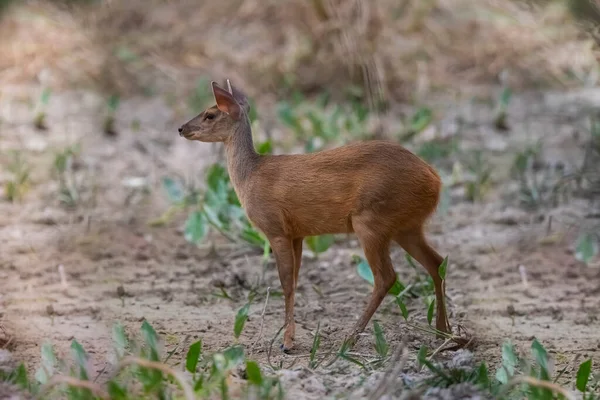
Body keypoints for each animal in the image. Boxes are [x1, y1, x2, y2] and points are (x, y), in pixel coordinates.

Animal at [178, 79, 450, 352]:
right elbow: (296, 280)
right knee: (436, 263)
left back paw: (351, 337)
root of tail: (435, 179)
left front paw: (287, 342)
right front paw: (289, 336)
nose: (181, 128)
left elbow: (286, 283)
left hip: (371, 220)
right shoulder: (297, 233)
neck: (250, 176)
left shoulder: (275, 228)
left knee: (386, 277)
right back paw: (443, 333)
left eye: (210, 114)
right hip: (407, 226)